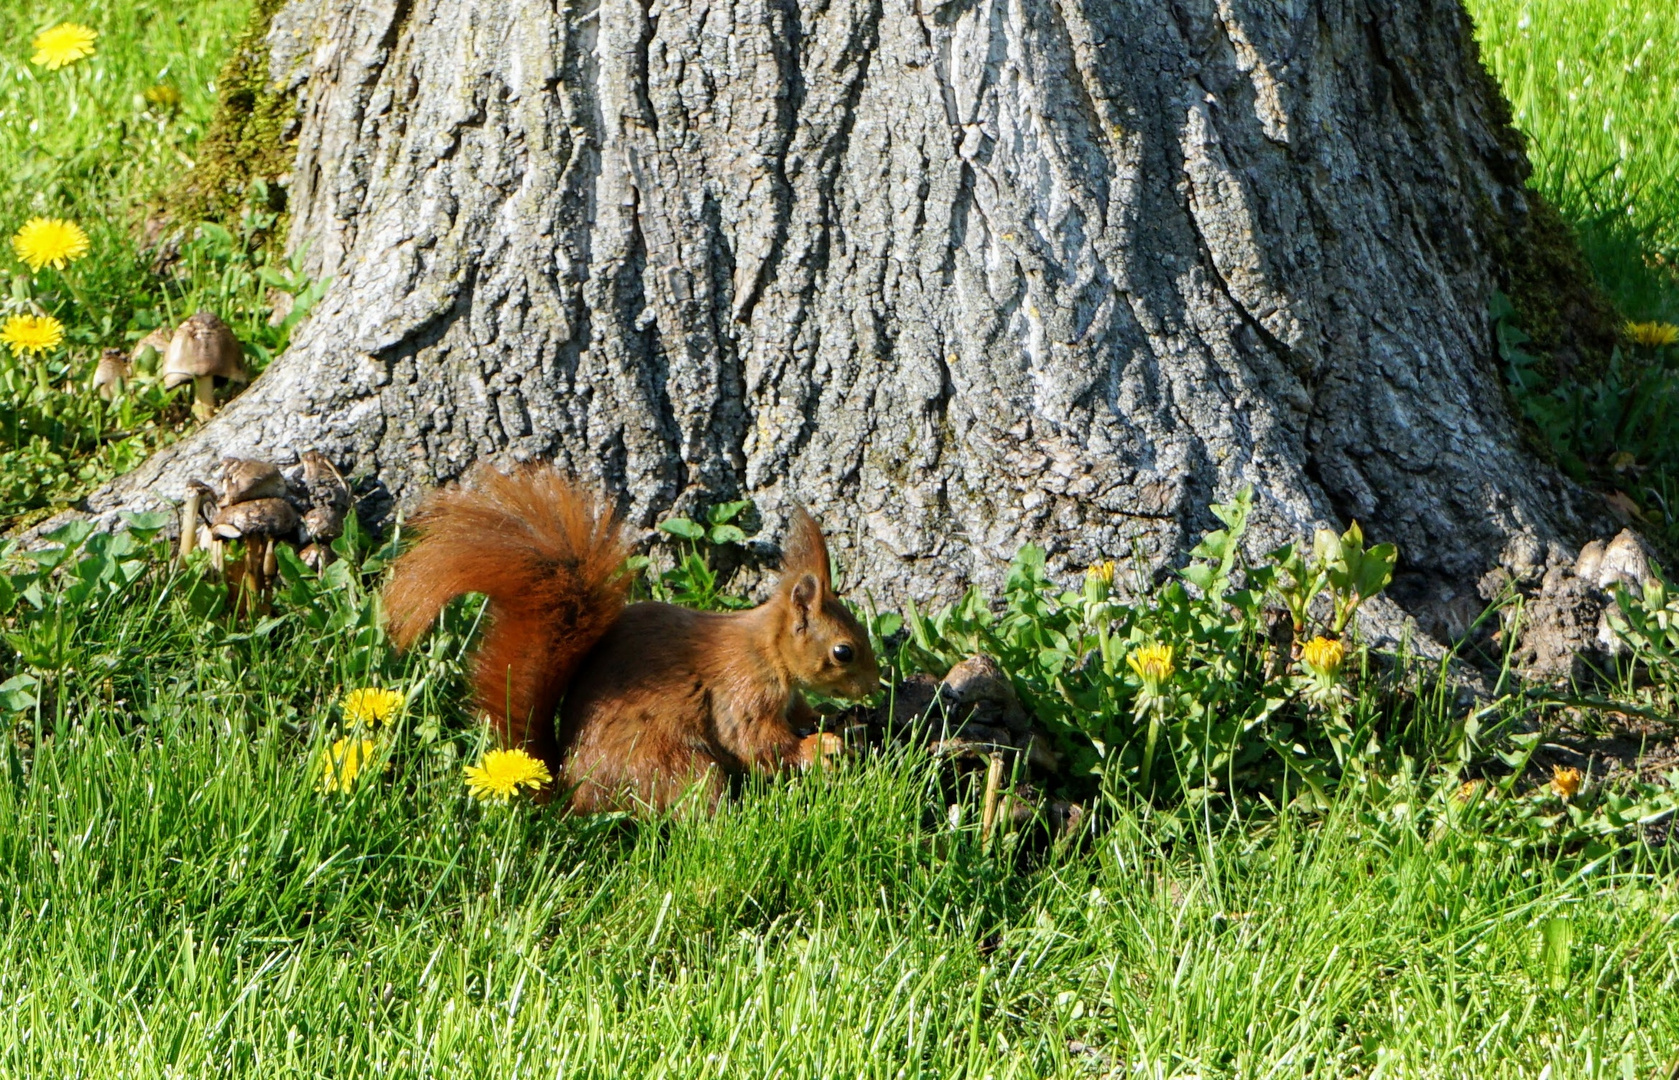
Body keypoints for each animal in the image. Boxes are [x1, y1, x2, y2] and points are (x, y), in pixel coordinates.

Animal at [381, 463, 879, 812]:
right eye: (844, 651)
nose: (874, 686)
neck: (768, 651)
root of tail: (573, 792)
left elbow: (798, 714)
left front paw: (831, 723)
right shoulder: (743, 691)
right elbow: (758, 743)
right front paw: (818, 748)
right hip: (673, 764)